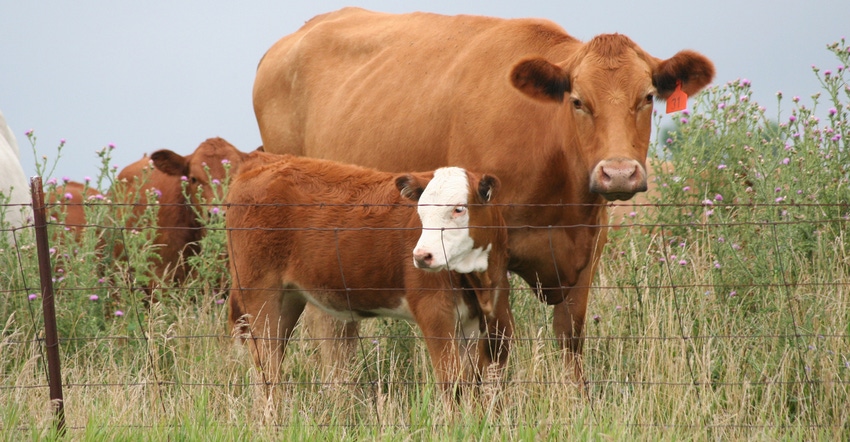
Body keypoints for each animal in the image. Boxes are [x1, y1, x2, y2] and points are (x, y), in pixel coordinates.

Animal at [225, 153, 512, 398]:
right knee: (267, 366)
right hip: (259, 293)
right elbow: (453, 385)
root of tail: (264, 160)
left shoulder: (489, 322)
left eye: (459, 209)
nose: (422, 256)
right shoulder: (435, 313)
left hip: (289, 297)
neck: (480, 284)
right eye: (420, 210)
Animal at [248, 6, 712, 380]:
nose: (618, 174)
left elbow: (570, 343)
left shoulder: (588, 250)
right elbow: (497, 347)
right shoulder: (491, 258)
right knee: (318, 332)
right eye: (578, 101)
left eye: (647, 97)